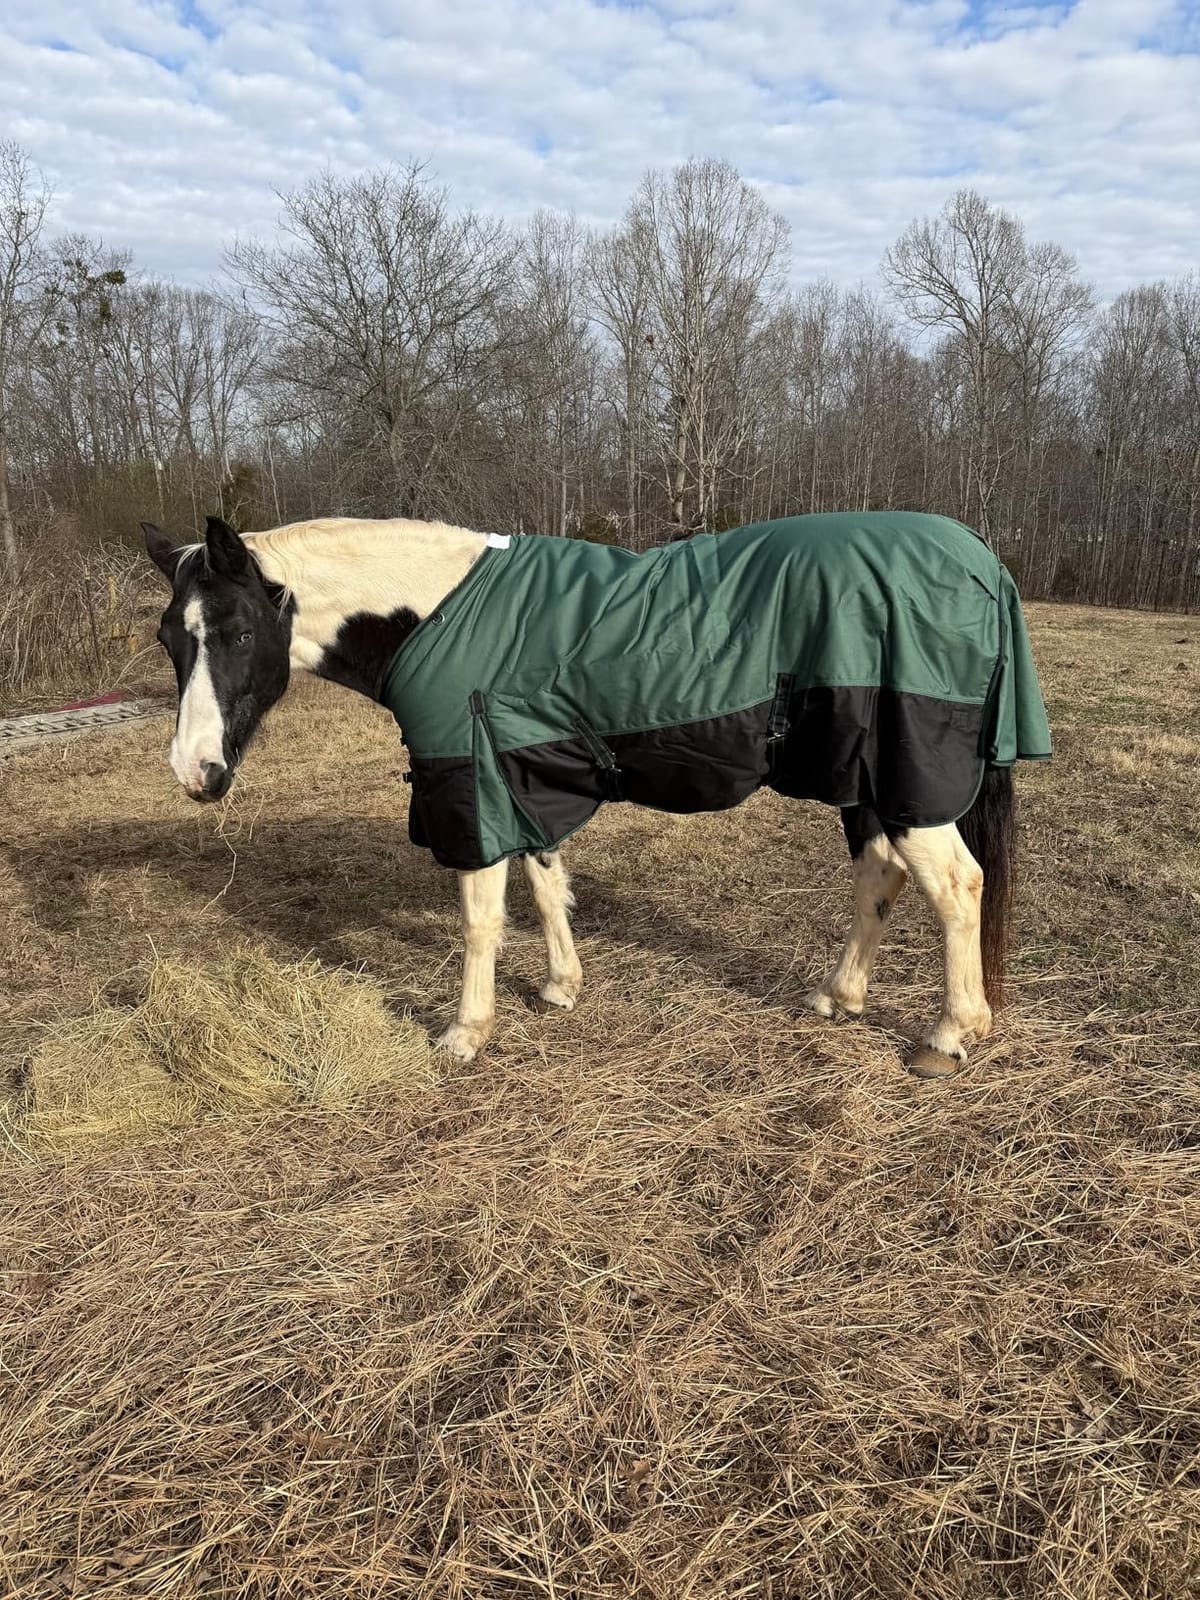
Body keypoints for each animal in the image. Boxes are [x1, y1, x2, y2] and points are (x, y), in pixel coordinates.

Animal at [142, 511, 1051, 1079]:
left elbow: (481, 919)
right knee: (881, 876)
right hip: (864, 775)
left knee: (956, 887)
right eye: (166, 638)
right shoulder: (516, 774)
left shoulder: (469, 781)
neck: (437, 612)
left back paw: (949, 1034)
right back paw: (841, 995)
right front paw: (560, 988)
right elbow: (546, 886)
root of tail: (978, 556)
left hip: (906, 777)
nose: (195, 773)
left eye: (236, 632)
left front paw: (465, 1033)